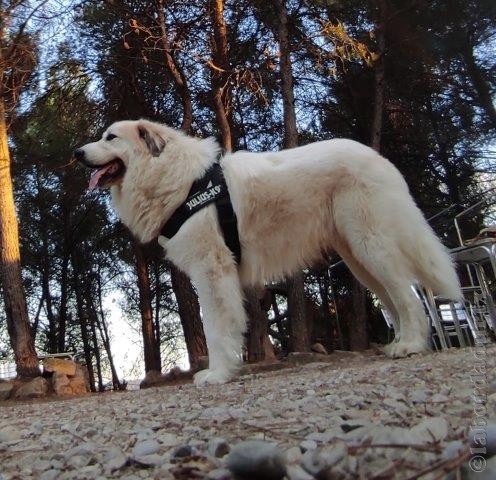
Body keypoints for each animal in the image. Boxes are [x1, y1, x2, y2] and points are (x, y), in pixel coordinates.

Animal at [75, 118, 464, 384]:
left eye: (110, 137)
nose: (76, 153)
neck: (173, 178)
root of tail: (379, 158)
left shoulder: (212, 272)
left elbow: (215, 327)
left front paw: (217, 374)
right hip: (358, 259)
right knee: (393, 300)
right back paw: (398, 342)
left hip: (372, 246)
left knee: (408, 296)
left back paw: (410, 345)